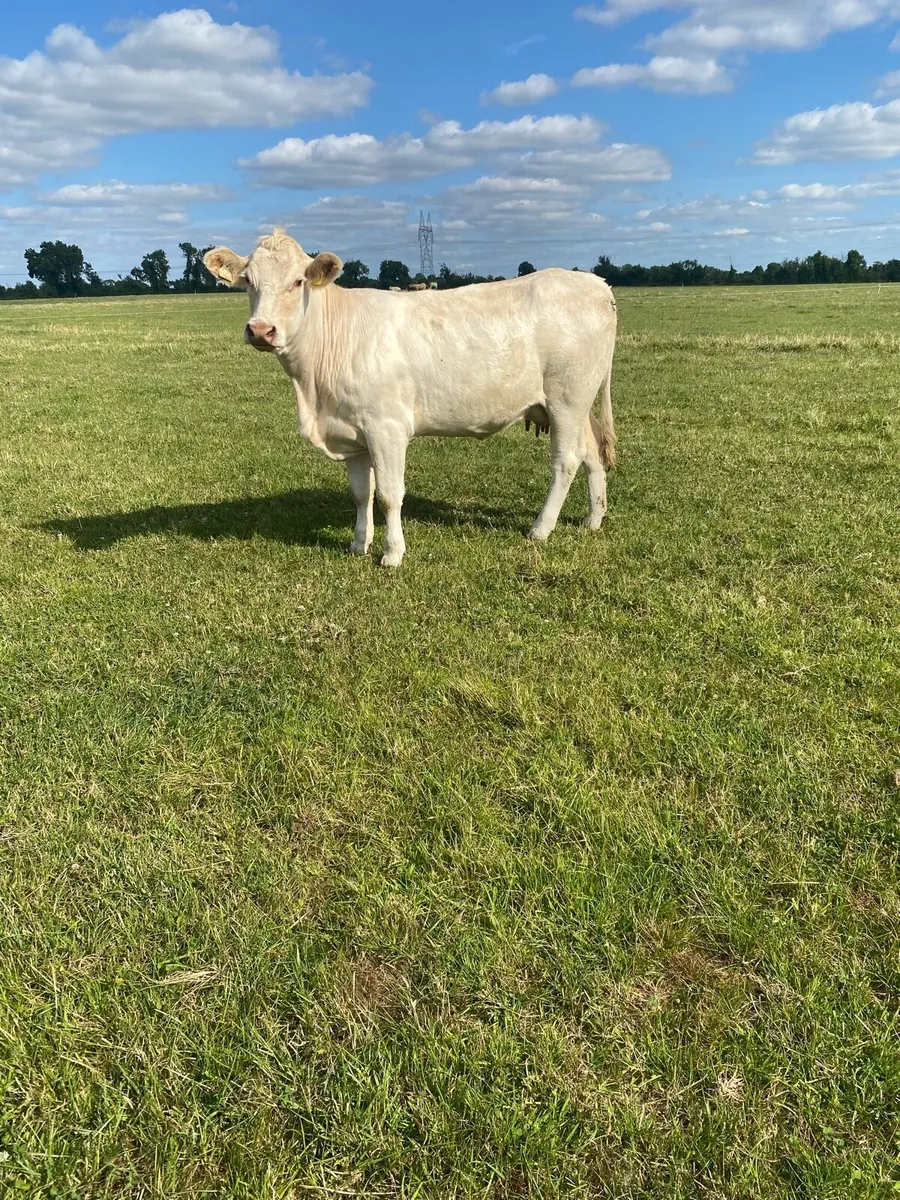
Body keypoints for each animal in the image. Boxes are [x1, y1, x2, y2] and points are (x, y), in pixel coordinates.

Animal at [204, 229, 617, 567]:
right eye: (248, 281)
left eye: (298, 281)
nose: (261, 330)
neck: (314, 391)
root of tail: (594, 282)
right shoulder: (351, 433)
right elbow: (361, 494)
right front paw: (359, 544)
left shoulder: (386, 427)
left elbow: (389, 494)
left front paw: (392, 553)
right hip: (576, 403)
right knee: (592, 454)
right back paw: (592, 519)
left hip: (567, 398)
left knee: (566, 461)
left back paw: (540, 528)